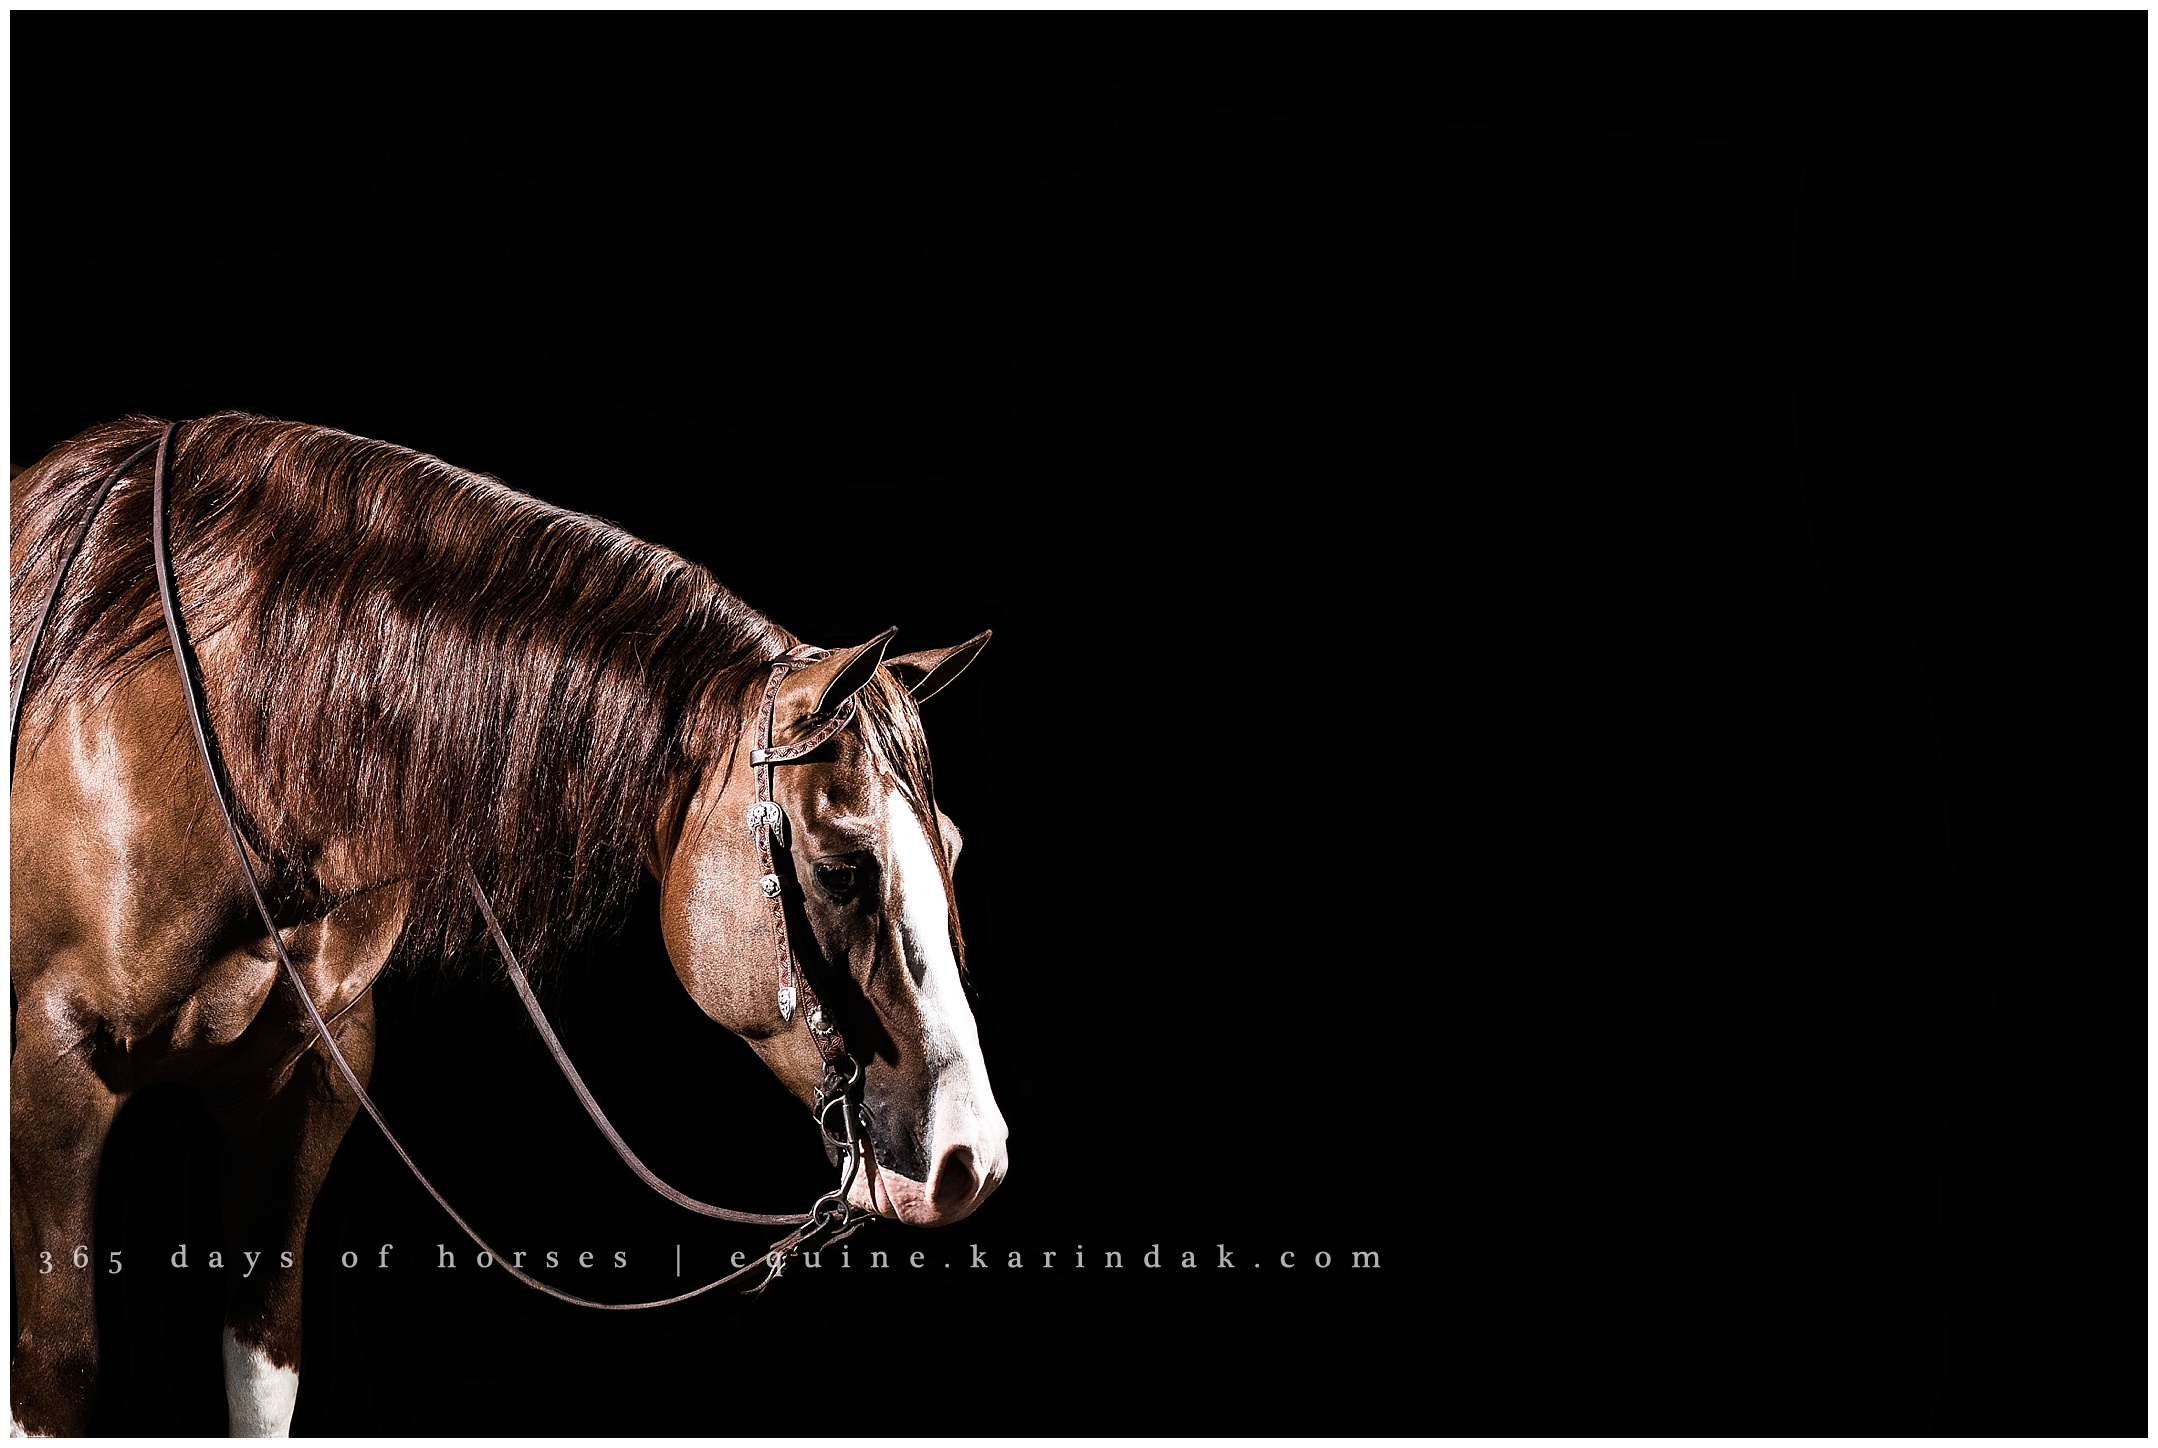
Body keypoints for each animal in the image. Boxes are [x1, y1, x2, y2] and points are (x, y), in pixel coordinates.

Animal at [9, 413, 1008, 1436]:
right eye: (843, 868)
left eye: (954, 848)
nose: (972, 1159)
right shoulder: (52, 1075)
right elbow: (53, 1373)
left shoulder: (307, 1078)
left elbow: (262, 1361)